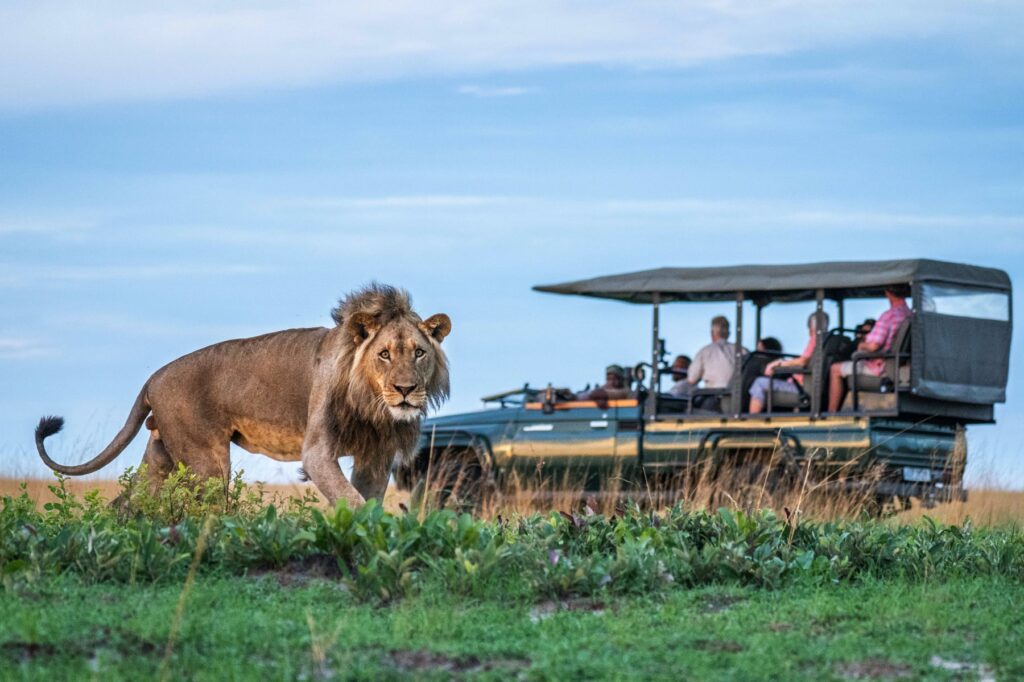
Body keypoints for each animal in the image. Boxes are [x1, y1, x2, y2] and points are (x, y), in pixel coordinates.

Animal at [34, 280, 450, 503]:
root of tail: (153, 378)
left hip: (162, 455)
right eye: (384, 354)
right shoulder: (317, 452)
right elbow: (352, 500)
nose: (406, 389)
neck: (373, 405)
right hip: (206, 461)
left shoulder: (376, 455)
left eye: (418, 352)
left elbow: (368, 503)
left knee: (126, 503)